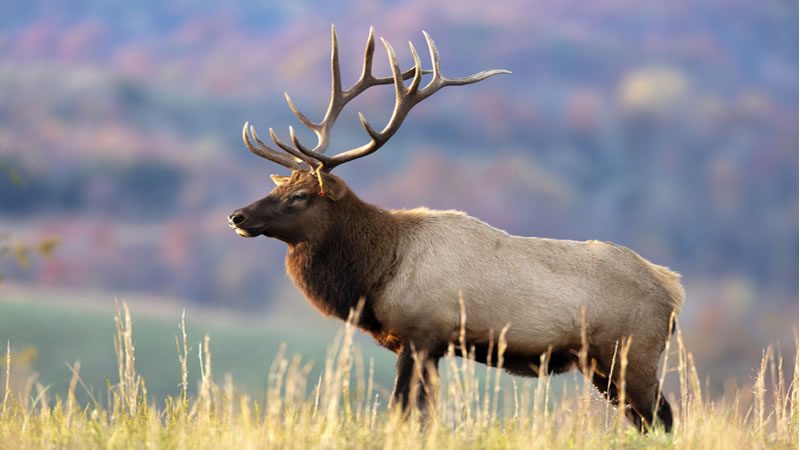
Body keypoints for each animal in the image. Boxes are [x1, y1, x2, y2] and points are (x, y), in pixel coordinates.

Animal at [227, 26, 685, 432]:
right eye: (280, 186)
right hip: (601, 365)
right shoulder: (431, 347)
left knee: (663, 417)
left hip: (632, 353)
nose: (238, 217)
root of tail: (673, 290)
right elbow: (423, 416)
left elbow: (404, 412)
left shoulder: (422, 333)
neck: (376, 274)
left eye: (300, 195)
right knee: (647, 421)